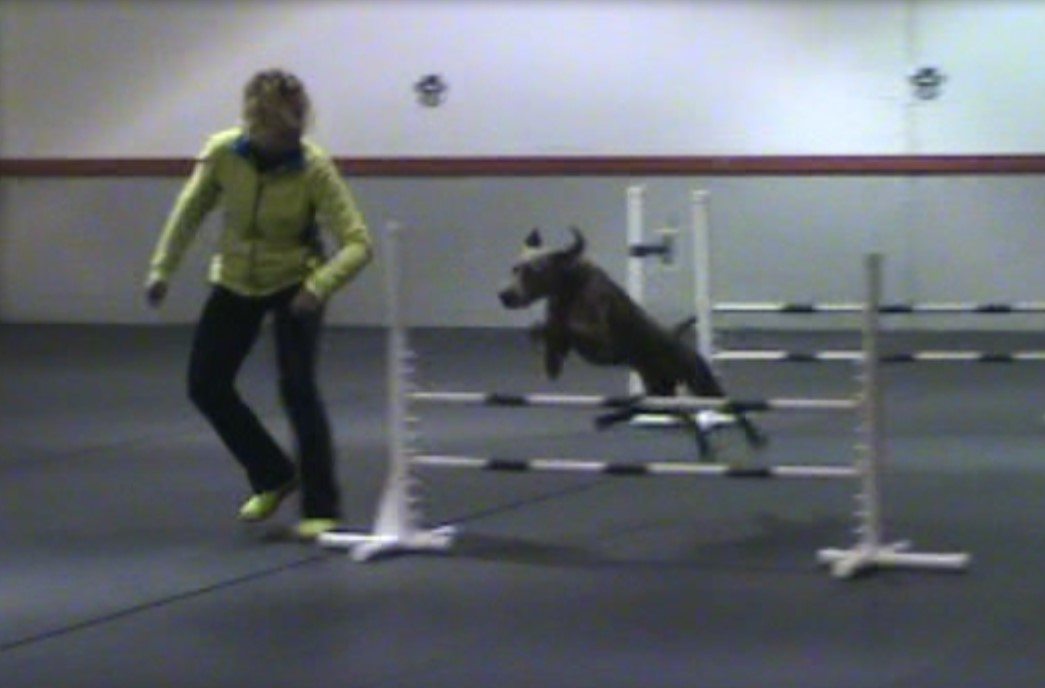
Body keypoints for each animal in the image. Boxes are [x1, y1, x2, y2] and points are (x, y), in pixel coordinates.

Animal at [497, 226, 765, 457]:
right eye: (514, 268)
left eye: (534, 270)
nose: (504, 295)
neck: (571, 286)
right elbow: (553, 344)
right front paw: (543, 339)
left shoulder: (602, 345)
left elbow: (566, 329)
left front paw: (544, 330)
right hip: (661, 392)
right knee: (676, 415)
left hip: (702, 383)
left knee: (731, 407)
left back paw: (754, 437)